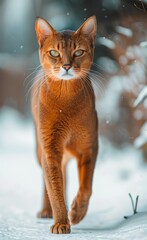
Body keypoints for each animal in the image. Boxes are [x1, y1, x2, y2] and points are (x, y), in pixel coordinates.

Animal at [31, 15, 98, 234]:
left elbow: (86, 185)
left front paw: (77, 212)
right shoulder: (50, 148)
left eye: (78, 52)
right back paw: (46, 211)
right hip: (40, 148)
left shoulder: (89, 147)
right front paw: (61, 222)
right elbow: (54, 188)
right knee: (48, 180)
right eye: (54, 53)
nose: (67, 66)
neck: (66, 101)